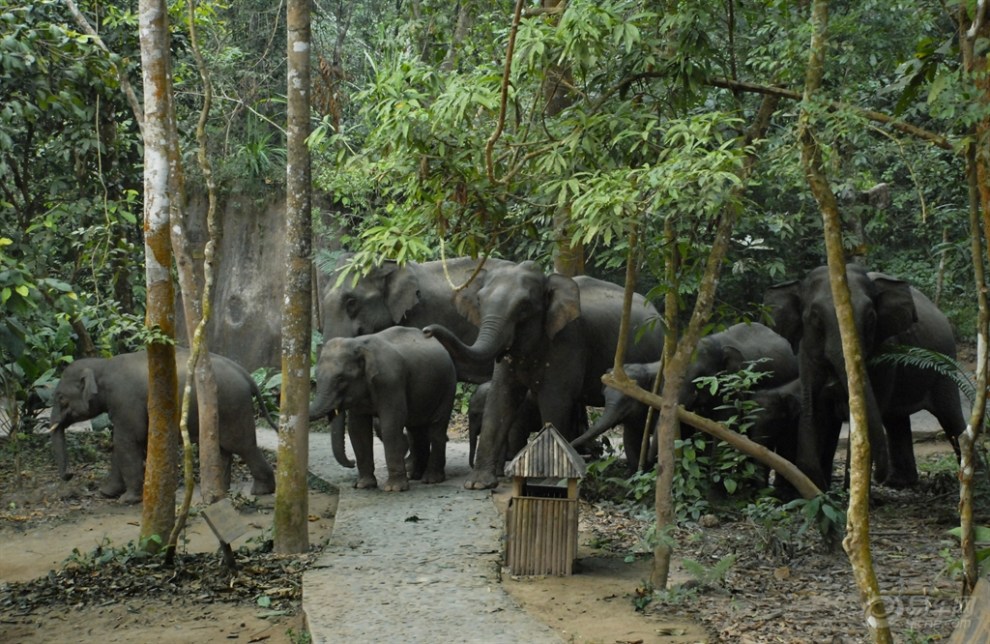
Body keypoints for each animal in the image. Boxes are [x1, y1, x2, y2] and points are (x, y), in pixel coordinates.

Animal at [48, 349, 276, 504]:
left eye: (60, 398)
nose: (69, 475)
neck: (102, 365)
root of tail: (246, 373)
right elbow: (122, 443)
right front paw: (107, 493)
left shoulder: (126, 401)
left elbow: (127, 441)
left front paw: (127, 499)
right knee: (224, 448)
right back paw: (219, 492)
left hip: (234, 406)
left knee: (244, 446)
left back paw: (261, 491)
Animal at [308, 326, 457, 491]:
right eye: (316, 375)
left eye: (341, 378)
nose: (352, 462)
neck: (357, 344)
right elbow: (357, 428)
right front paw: (363, 485)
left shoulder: (389, 381)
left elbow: (391, 423)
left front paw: (394, 489)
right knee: (416, 429)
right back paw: (415, 475)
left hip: (448, 386)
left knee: (436, 427)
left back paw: (431, 479)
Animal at [424, 260, 664, 489]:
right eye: (480, 301)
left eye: (523, 306)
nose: (427, 331)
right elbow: (501, 397)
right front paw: (477, 483)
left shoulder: (568, 339)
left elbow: (554, 400)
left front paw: (552, 480)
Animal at [571, 322, 799, 470]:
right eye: (604, 394)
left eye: (700, 376)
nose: (585, 452)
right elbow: (632, 439)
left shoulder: (730, 387)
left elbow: (723, 426)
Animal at [764, 263, 966, 491]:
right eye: (815, 317)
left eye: (870, 317)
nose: (878, 477)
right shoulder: (806, 355)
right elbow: (817, 410)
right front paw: (819, 490)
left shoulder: (884, 354)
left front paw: (849, 491)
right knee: (896, 420)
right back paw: (898, 483)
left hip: (944, 365)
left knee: (950, 417)